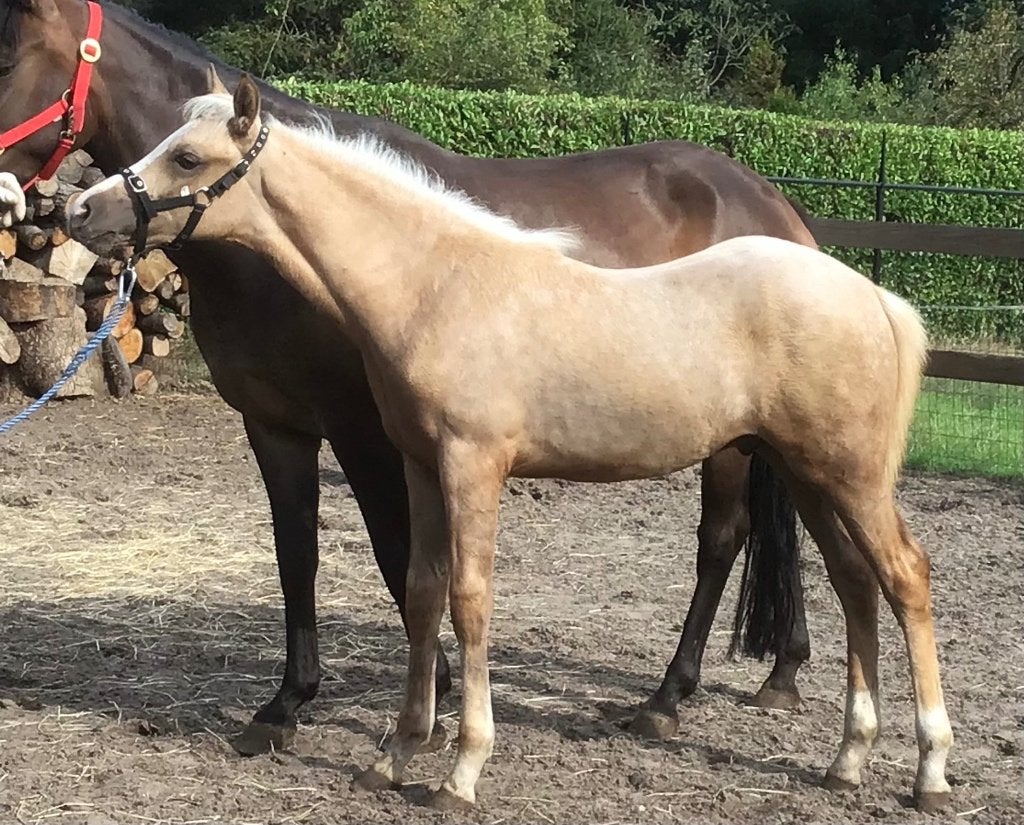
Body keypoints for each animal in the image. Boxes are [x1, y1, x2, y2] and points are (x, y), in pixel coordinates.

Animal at [0, 0, 816, 752]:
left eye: (7, 57)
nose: (75, 209)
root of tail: (771, 200)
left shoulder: (365, 429)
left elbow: (398, 551)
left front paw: (438, 693)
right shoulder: (276, 424)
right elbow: (297, 551)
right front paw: (287, 702)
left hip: (729, 441)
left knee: (723, 537)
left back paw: (668, 696)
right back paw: (783, 672)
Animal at [68, 77, 953, 814]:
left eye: (188, 156)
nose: (82, 211)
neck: (435, 284)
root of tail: (876, 298)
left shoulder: (473, 464)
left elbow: (470, 599)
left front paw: (461, 770)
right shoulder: (422, 465)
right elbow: (421, 589)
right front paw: (397, 752)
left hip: (847, 474)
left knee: (905, 576)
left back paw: (929, 769)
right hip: (809, 473)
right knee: (854, 582)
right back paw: (847, 759)